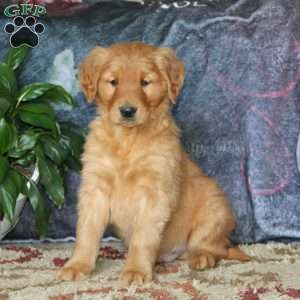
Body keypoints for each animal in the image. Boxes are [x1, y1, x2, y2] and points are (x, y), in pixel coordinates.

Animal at [57, 41, 250, 284]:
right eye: (113, 82)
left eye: (145, 82)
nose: (127, 111)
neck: (128, 139)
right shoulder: (95, 187)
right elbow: (87, 232)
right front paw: (78, 264)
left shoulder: (155, 193)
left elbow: (143, 236)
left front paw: (136, 270)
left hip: (215, 207)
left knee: (214, 246)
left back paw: (202, 257)